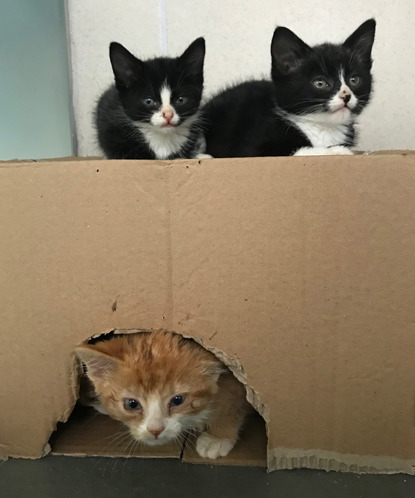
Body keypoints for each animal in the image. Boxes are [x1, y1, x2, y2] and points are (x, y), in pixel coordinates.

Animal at [75, 330, 254, 460]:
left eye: (178, 400)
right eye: (132, 404)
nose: (155, 430)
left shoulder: (234, 386)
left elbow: (232, 408)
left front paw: (217, 439)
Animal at [204, 19, 376, 157]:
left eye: (354, 80)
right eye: (320, 83)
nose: (346, 96)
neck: (322, 127)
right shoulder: (251, 146)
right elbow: (296, 149)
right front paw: (335, 150)